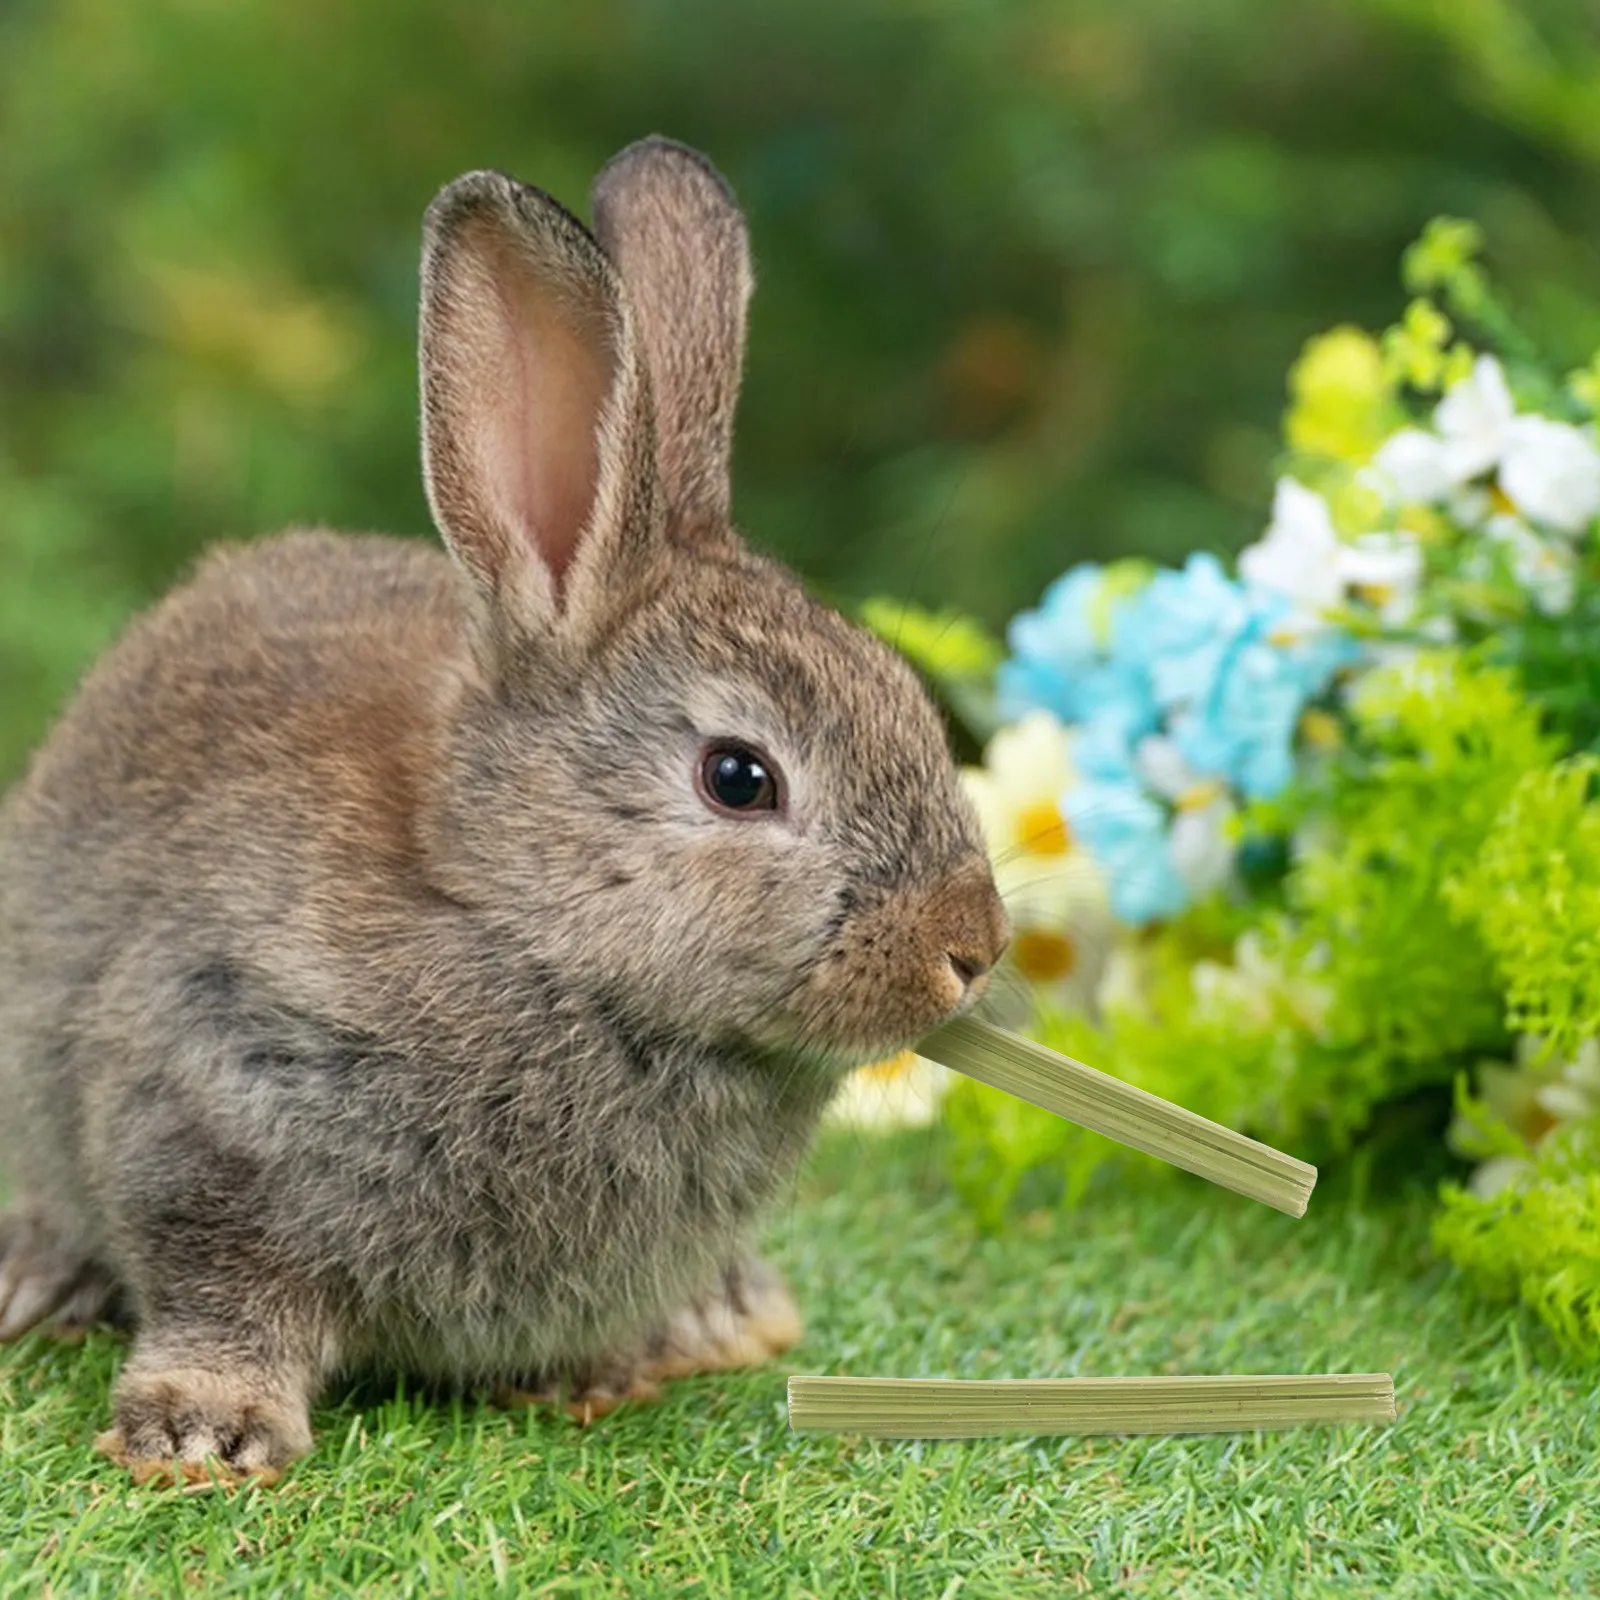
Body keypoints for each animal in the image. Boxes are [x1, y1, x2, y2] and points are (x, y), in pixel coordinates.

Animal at [0, 136, 1009, 1485]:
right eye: (738, 777)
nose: (973, 946)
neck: (520, 926)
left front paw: (609, 1369)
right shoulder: (203, 1092)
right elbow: (225, 1288)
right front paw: (203, 1432)